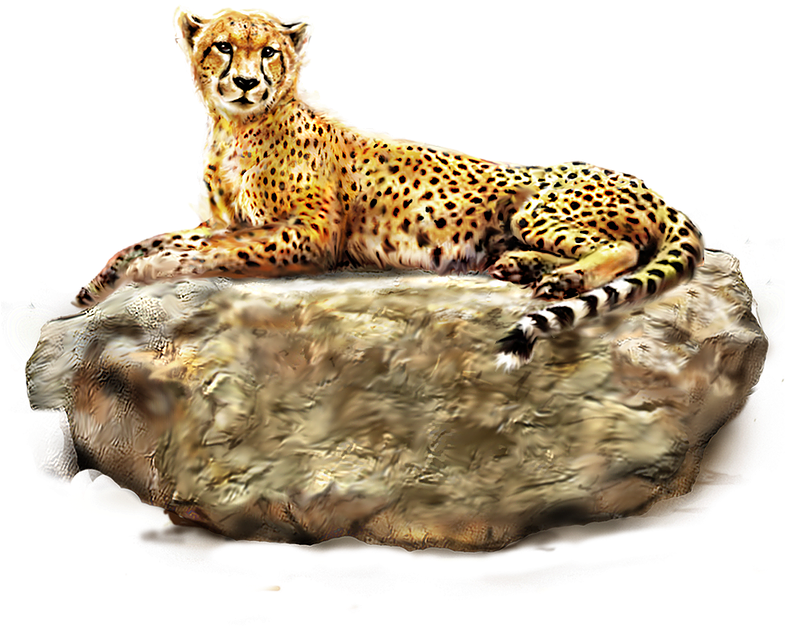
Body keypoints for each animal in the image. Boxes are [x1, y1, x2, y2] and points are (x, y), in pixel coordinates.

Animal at [69, 4, 705, 370]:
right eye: (223, 46)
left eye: (269, 51)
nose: (246, 83)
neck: (237, 128)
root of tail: (646, 186)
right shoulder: (222, 220)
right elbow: (164, 239)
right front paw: (92, 288)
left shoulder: (308, 237)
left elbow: (208, 250)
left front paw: (144, 275)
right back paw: (524, 268)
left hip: (538, 208)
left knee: (622, 248)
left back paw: (564, 278)